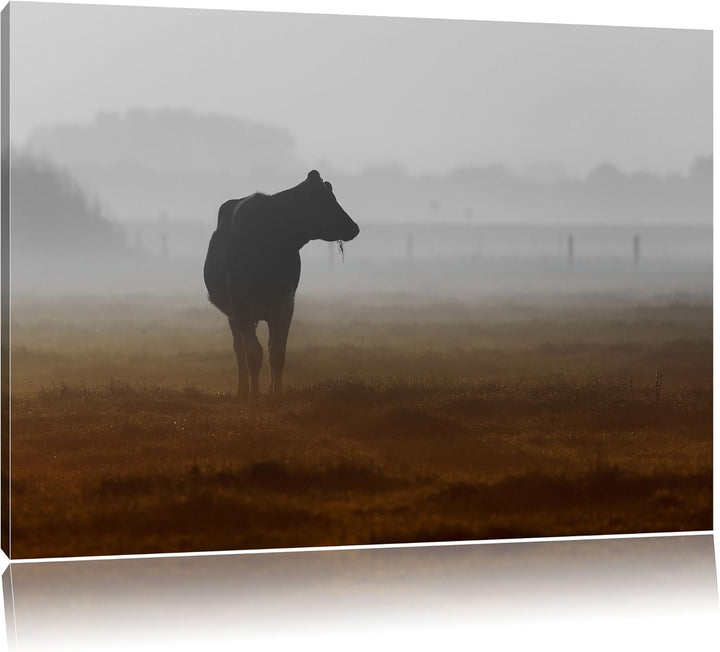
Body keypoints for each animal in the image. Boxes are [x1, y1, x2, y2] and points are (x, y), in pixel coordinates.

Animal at [204, 170, 359, 399]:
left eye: (333, 197)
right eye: (325, 201)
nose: (354, 228)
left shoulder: (285, 304)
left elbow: (276, 354)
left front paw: (275, 393)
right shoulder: (241, 306)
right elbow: (254, 354)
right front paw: (255, 394)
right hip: (233, 315)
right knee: (239, 350)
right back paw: (243, 390)